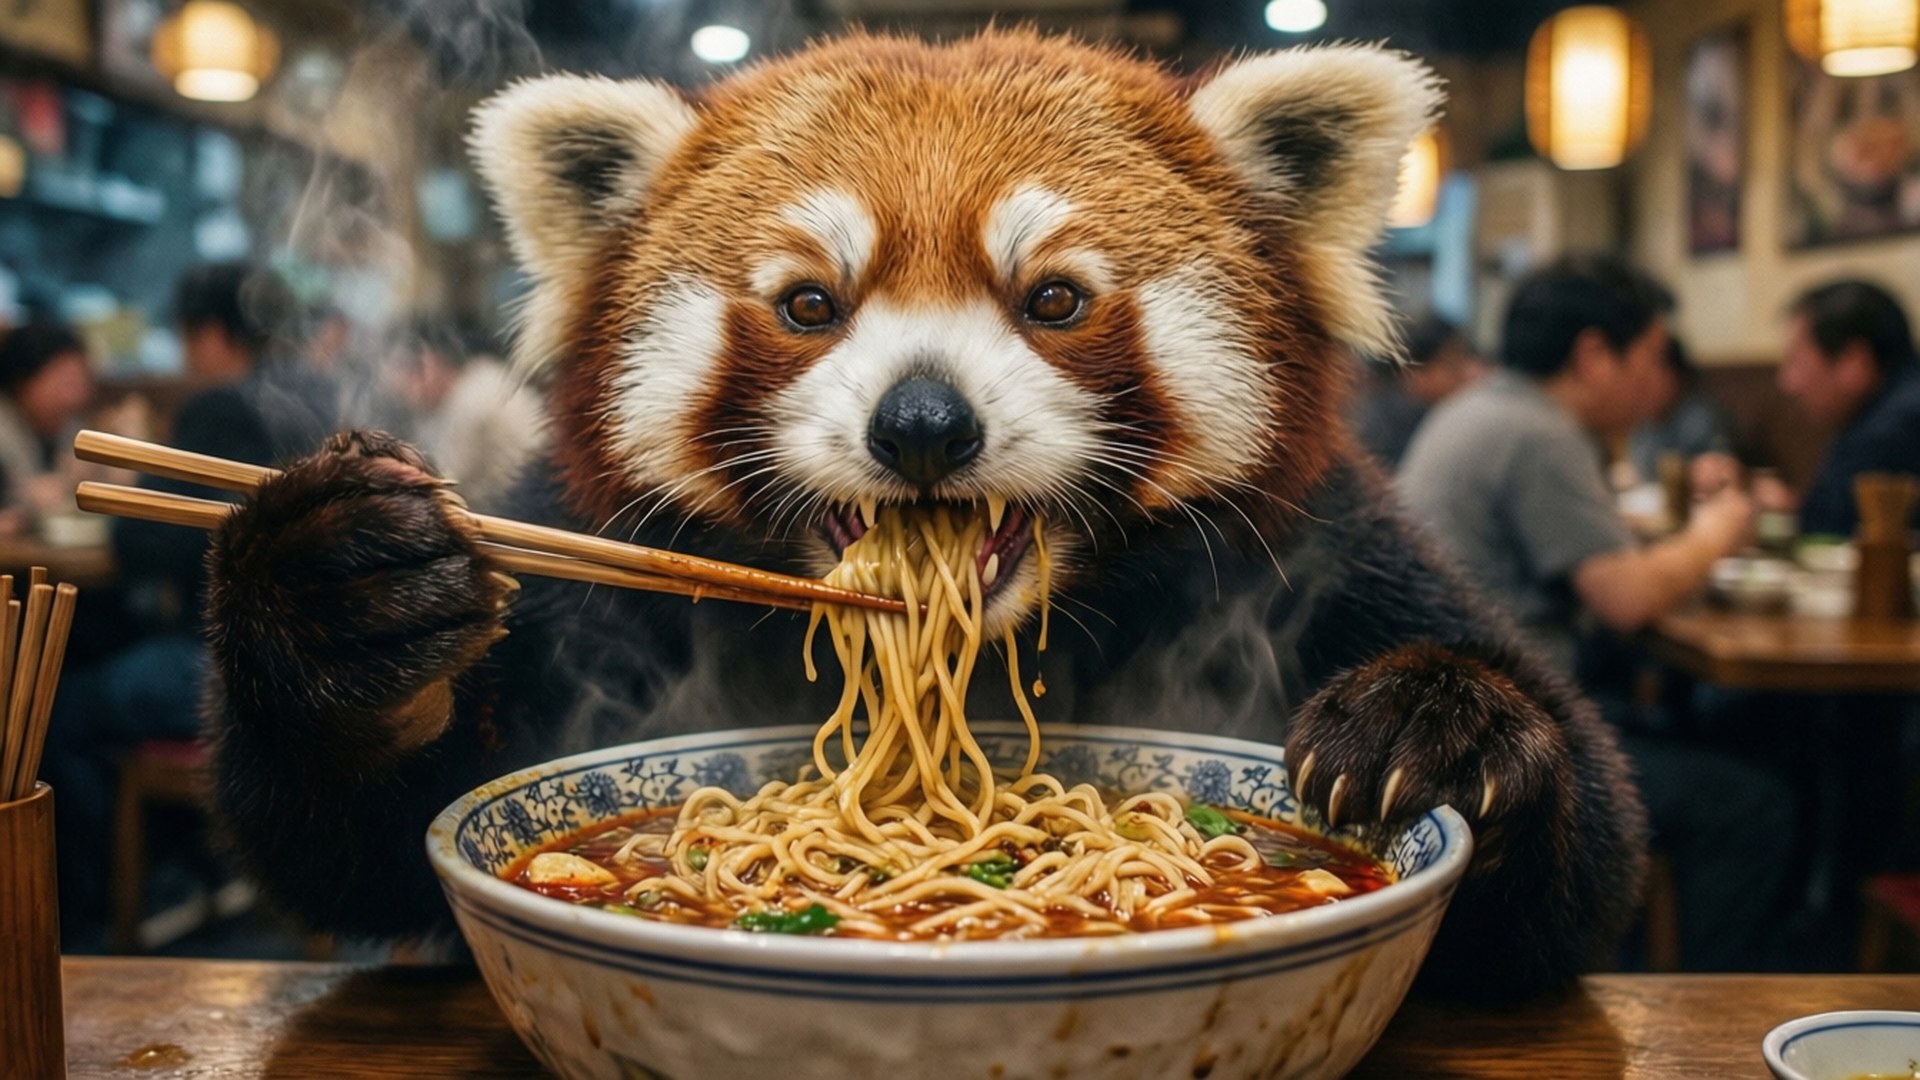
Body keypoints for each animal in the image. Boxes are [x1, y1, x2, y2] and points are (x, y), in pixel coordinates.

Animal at [203, 30, 1646, 999]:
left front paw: (1440, 730)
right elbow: (358, 852)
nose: (923, 425)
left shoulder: (1318, 546)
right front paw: (343, 597)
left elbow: (1574, 892)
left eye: (1053, 298)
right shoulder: (575, 556)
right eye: (809, 303)